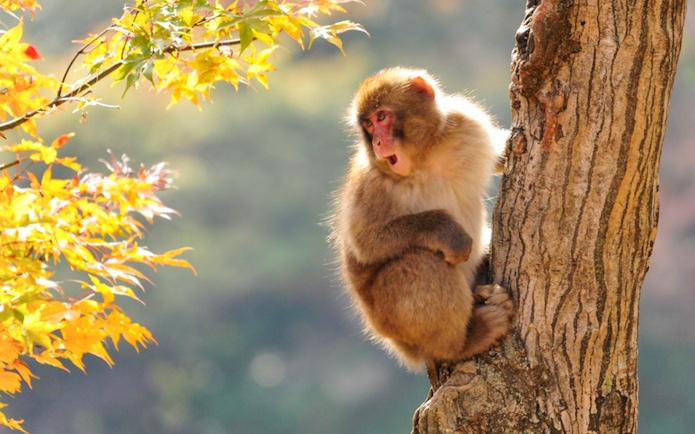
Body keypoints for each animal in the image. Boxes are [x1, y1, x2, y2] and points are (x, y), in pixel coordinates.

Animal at [329, 67, 514, 370]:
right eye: (368, 124)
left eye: (381, 117)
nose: (377, 141)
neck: (425, 158)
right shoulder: (370, 182)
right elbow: (366, 243)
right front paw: (448, 232)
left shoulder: (467, 123)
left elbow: (499, 153)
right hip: (395, 323)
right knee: (421, 261)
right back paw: (464, 343)